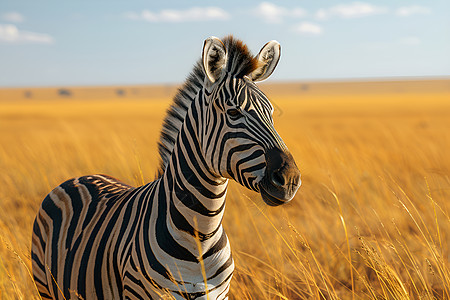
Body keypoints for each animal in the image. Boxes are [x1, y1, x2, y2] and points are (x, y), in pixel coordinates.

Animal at [30, 36, 298, 298]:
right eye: (233, 112)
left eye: (271, 113)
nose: (290, 180)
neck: (201, 233)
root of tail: (79, 177)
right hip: (45, 286)